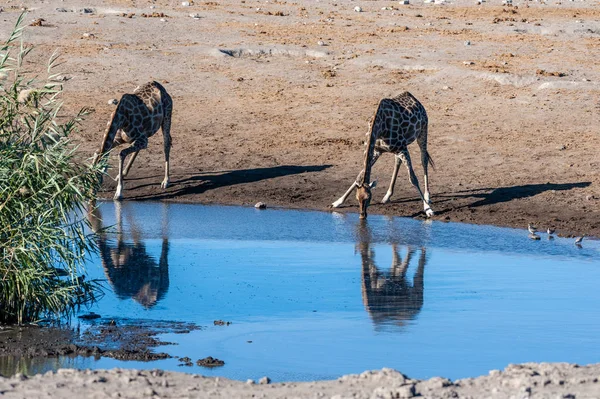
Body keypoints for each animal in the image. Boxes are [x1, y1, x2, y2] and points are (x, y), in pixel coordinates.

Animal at [330, 92, 434, 220]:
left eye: (368, 198)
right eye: (357, 198)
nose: (362, 216)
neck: (379, 127)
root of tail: (414, 98)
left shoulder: (402, 148)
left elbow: (413, 179)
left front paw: (428, 209)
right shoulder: (377, 151)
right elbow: (359, 176)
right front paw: (338, 202)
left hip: (422, 131)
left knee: (424, 160)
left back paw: (427, 197)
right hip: (398, 149)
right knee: (397, 162)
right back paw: (387, 196)